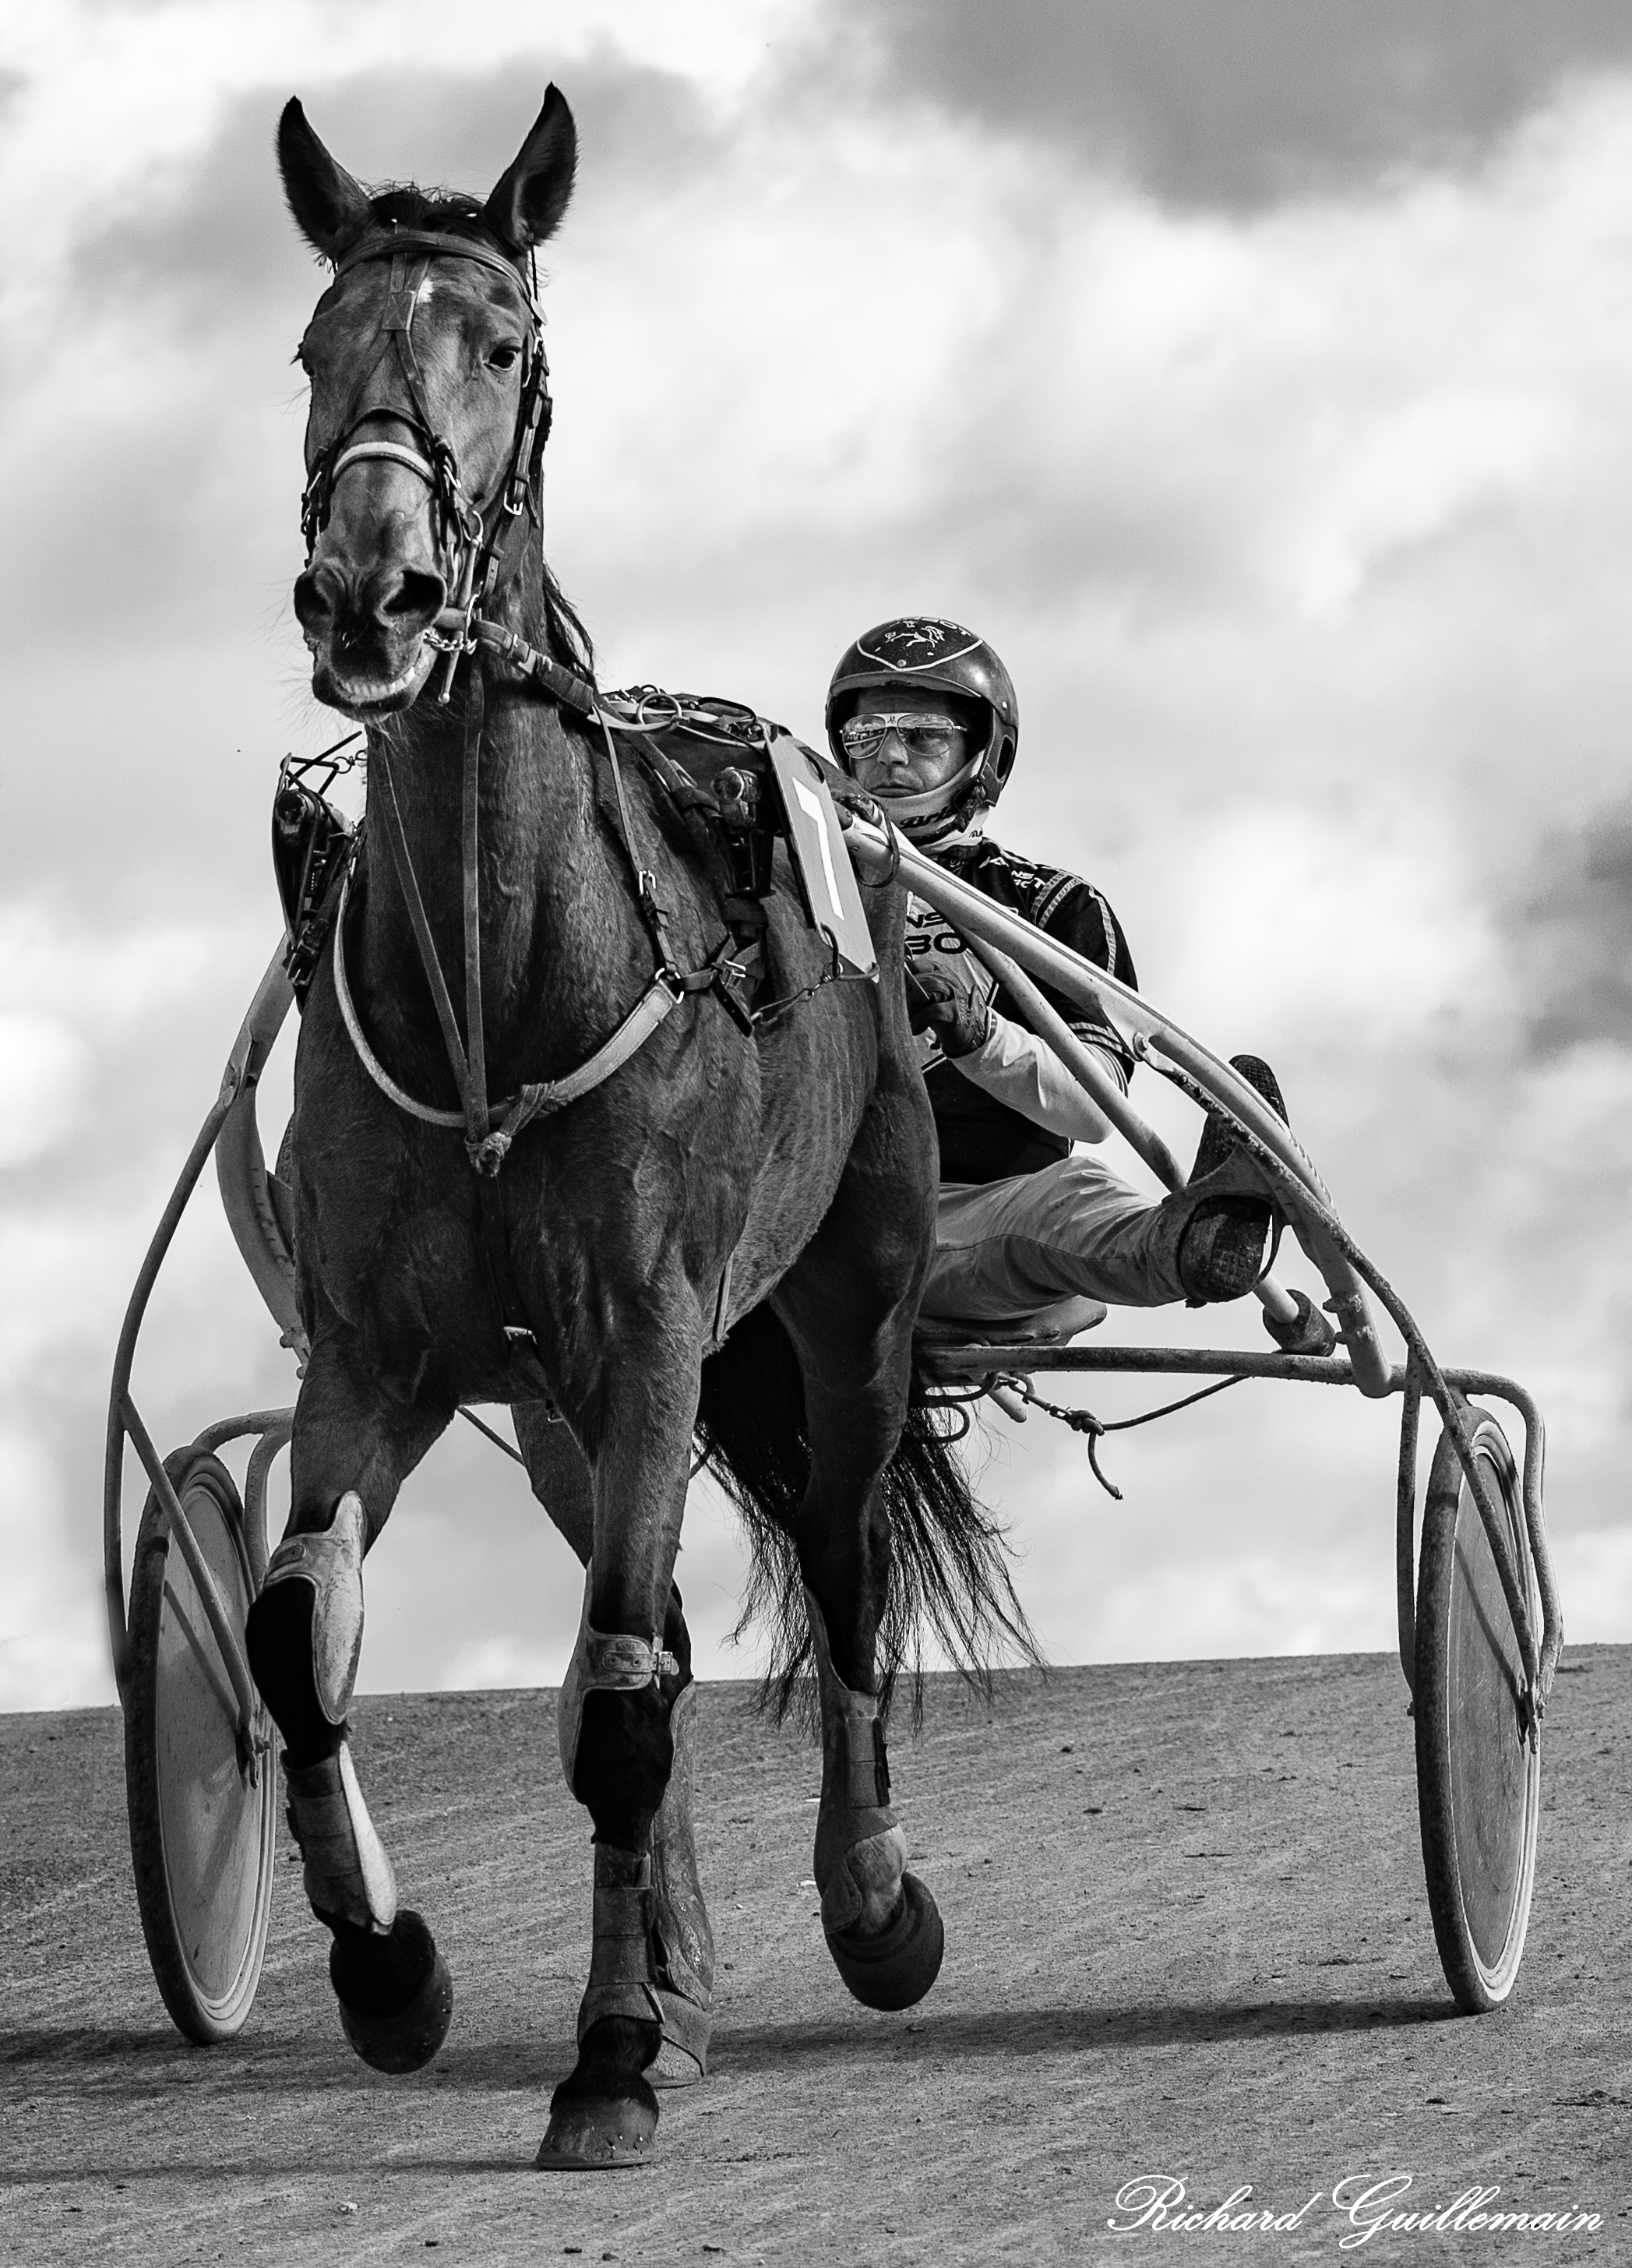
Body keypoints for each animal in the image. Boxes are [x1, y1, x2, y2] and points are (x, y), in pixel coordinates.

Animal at [243, 84, 1030, 2168]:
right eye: (311, 345)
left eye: (506, 343)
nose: (372, 594)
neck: (500, 980)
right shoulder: (383, 1356)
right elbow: (295, 1633)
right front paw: (394, 1971)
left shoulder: (662, 1334)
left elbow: (618, 1701)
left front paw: (602, 2061)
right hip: (554, 1405)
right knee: (656, 1613)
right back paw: (668, 1969)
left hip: (848, 1306)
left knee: (833, 1557)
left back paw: (868, 1902)